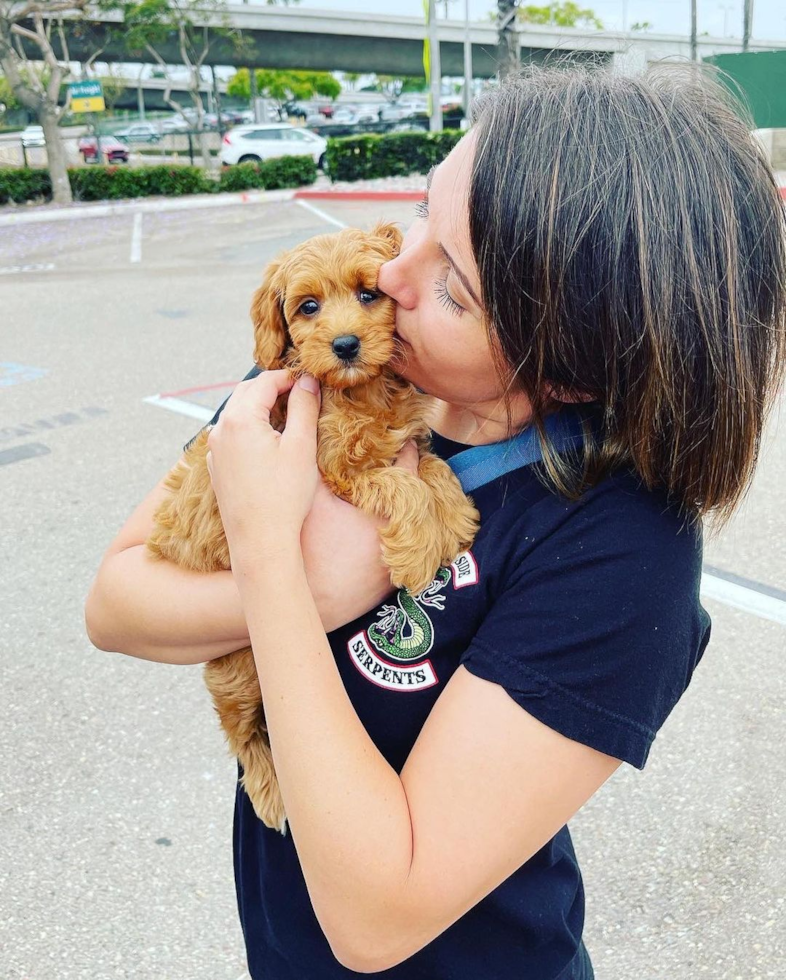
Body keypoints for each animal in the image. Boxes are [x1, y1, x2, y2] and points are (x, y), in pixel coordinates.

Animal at [146, 224, 478, 836]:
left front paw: (454, 515)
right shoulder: (337, 467)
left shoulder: (401, 440)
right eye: (307, 307)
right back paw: (272, 793)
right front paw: (419, 550)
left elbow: (430, 466)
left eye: (370, 294)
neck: (360, 391)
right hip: (240, 671)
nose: (345, 345)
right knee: (244, 733)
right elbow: (404, 486)